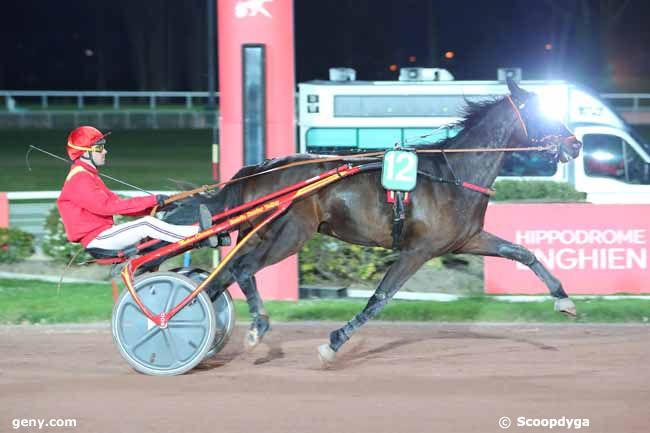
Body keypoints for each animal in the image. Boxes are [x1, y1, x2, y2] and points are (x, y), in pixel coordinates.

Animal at [165, 78, 580, 364]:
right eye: (541, 112)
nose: (575, 144)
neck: (454, 173)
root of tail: (257, 168)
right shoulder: (417, 251)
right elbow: (379, 299)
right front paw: (333, 344)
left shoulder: (467, 239)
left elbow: (523, 253)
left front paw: (564, 300)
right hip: (289, 234)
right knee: (243, 270)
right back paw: (250, 326)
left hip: (261, 233)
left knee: (225, 276)